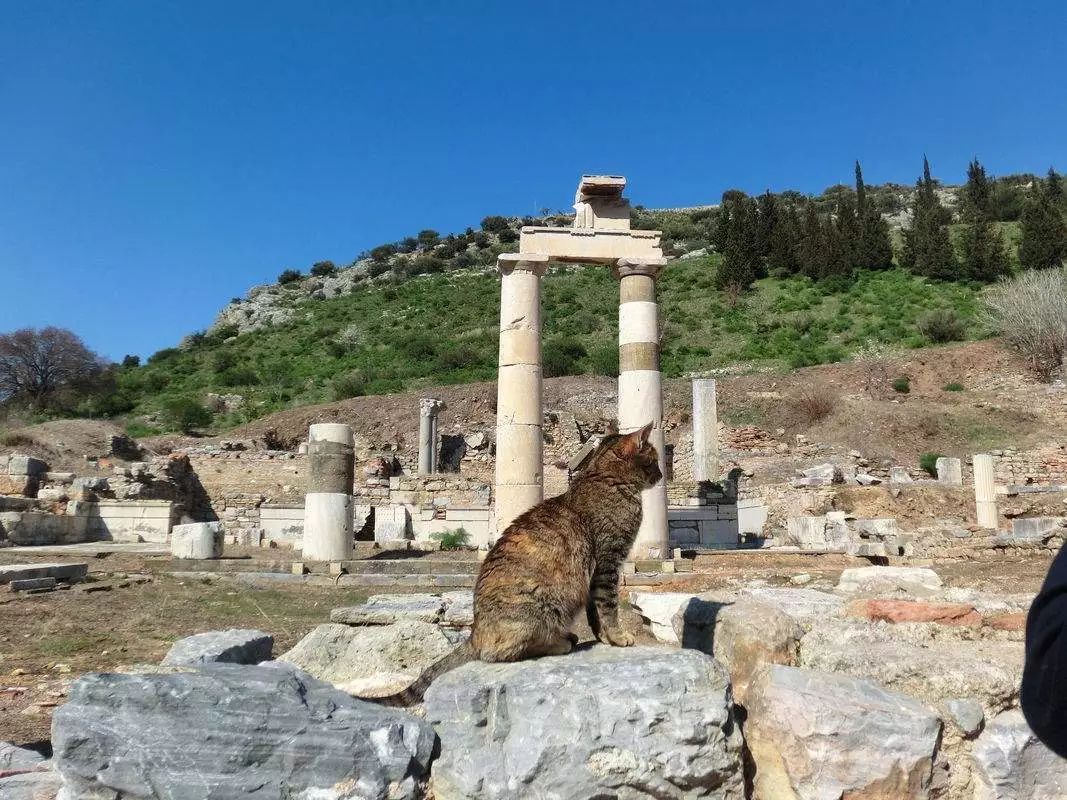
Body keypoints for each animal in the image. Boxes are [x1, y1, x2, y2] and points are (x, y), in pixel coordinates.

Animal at [375, 422, 657, 704]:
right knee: (496, 653)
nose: (662, 474)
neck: (605, 477)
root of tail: (474, 632)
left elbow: (595, 614)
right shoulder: (608, 563)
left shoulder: (596, 575)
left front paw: (604, 637)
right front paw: (618, 636)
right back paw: (560, 642)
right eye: (654, 460)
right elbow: (608, 608)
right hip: (541, 606)